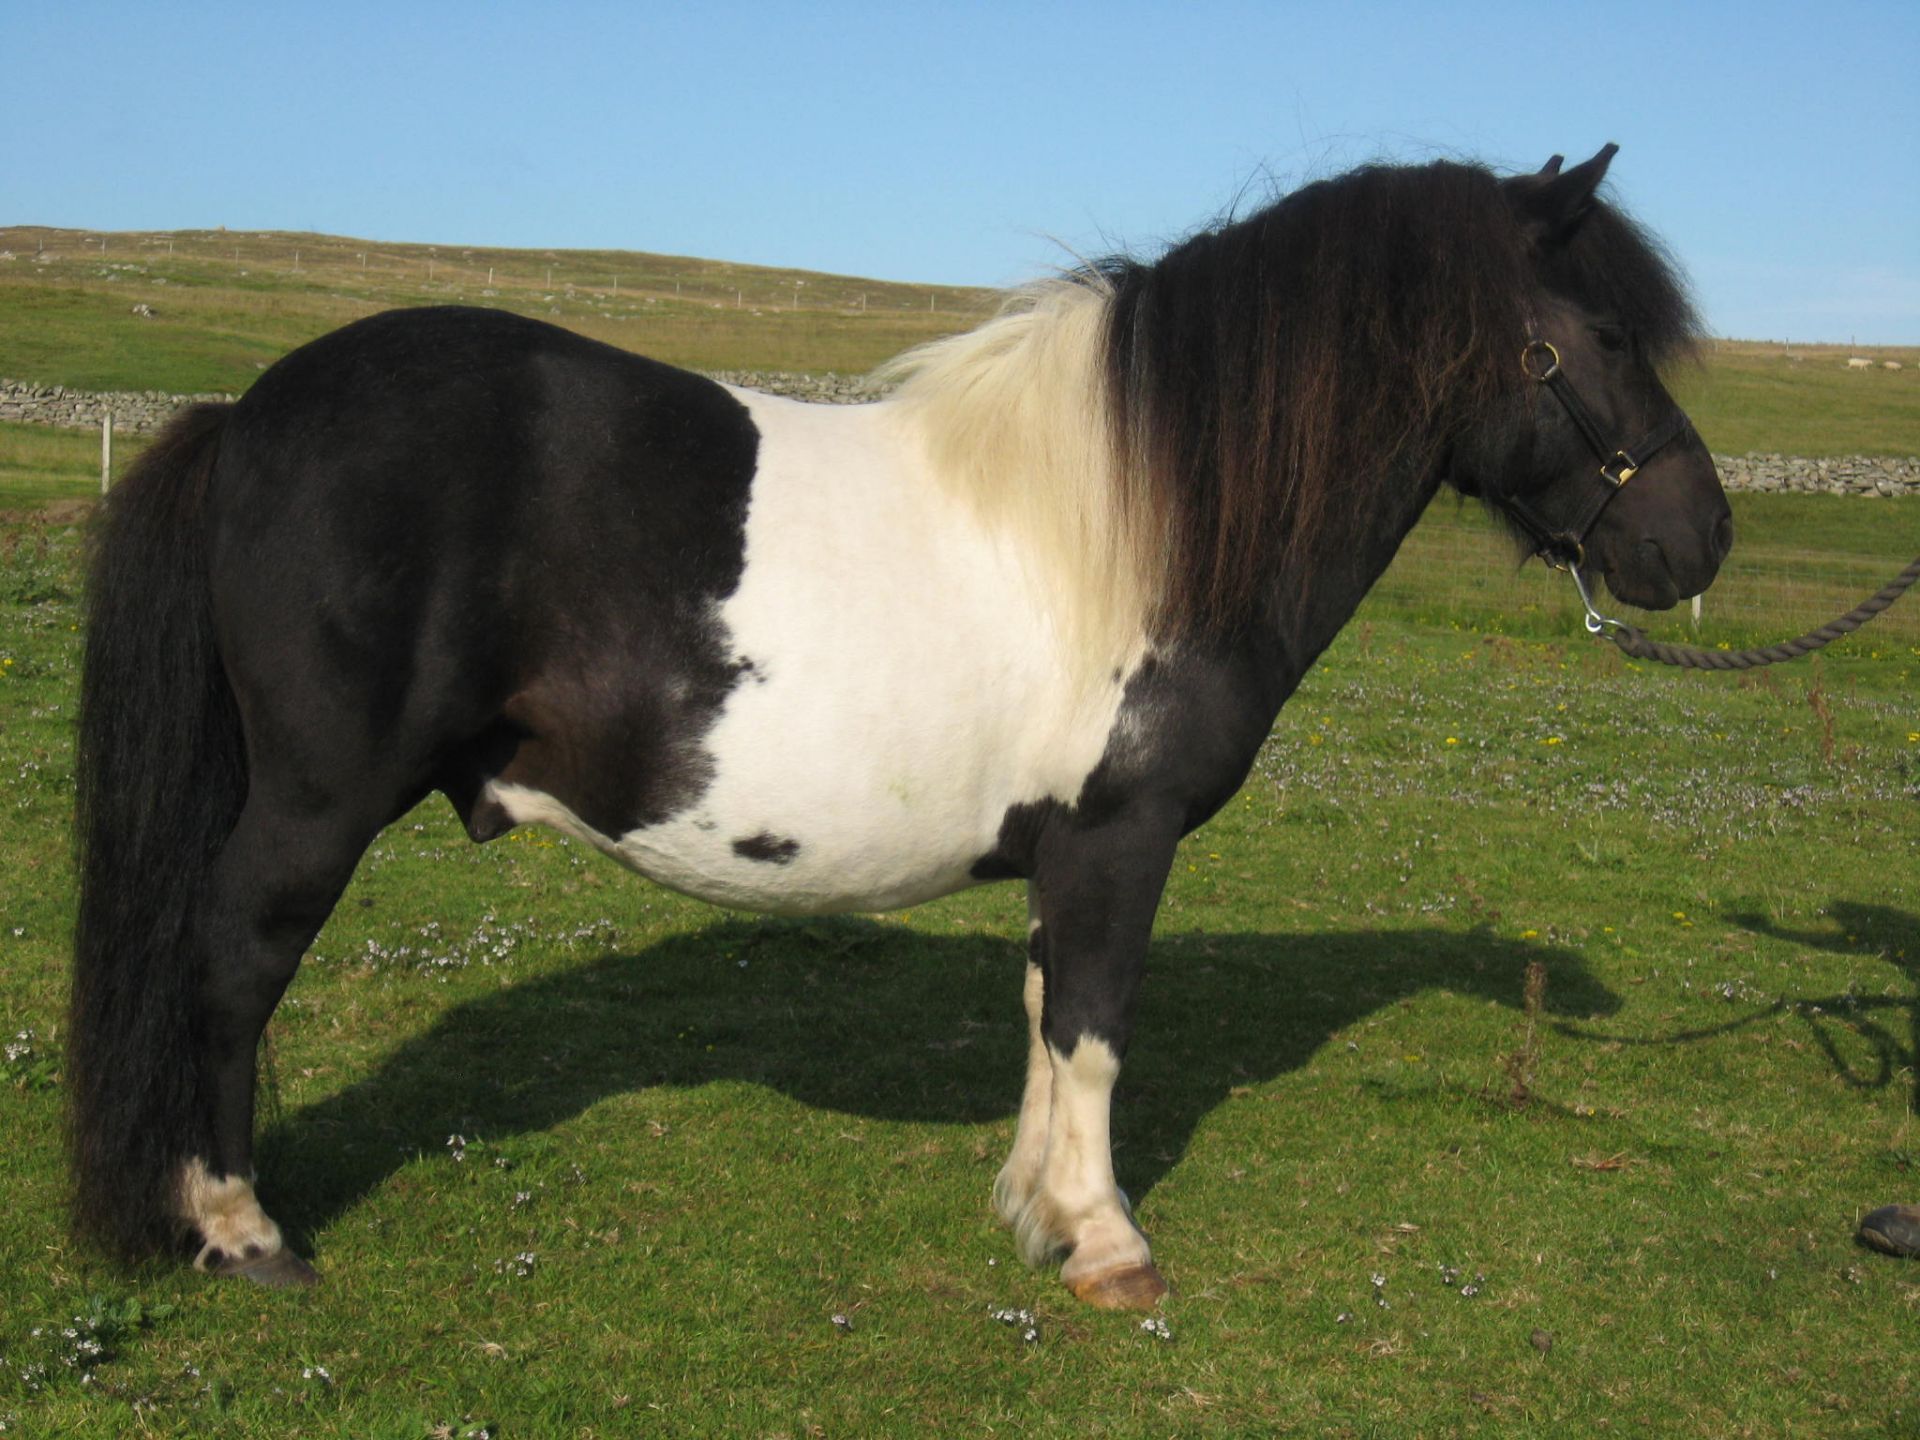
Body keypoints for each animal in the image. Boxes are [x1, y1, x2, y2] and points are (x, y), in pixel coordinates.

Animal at [71, 144, 1728, 1305]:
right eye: (1598, 333)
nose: (1698, 540)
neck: (1140, 524)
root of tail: (249, 416)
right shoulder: (1122, 842)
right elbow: (1098, 1033)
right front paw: (1111, 1246)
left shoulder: (1065, 852)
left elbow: (1048, 1026)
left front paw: (1042, 1216)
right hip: (313, 807)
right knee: (226, 972)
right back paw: (243, 1231)